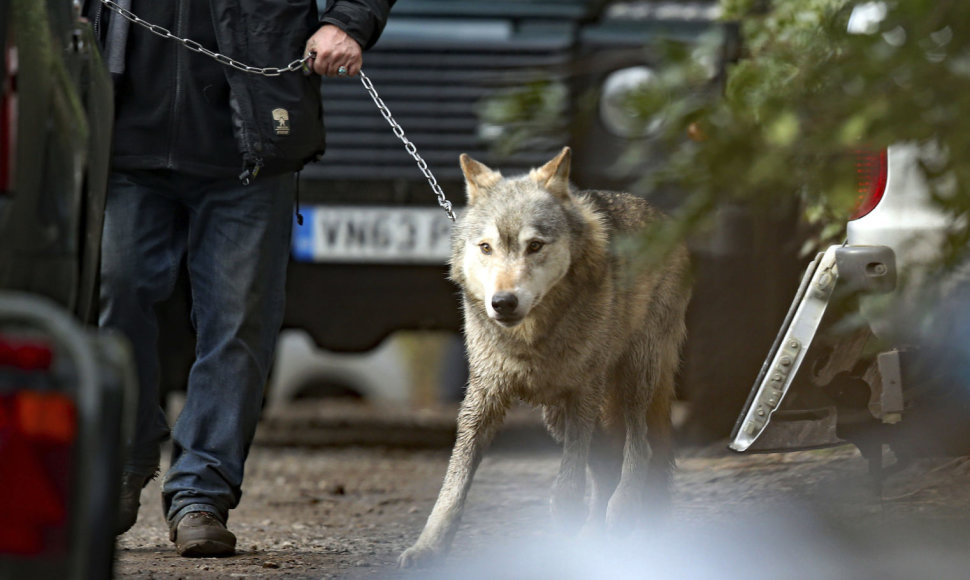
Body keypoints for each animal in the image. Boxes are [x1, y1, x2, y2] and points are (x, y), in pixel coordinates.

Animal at [396, 146, 688, 568]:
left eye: (534, 246)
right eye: (486, 247)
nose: (502, 302)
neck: (531, 341)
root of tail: (666, 219)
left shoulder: (583, 392)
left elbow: (569, 482)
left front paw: (567, 521)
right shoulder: (482, 398)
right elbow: (452, 484)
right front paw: (428, 547)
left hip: (633, 378)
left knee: (641, 446)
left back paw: (622, 513)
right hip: (561, 416)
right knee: (607, 466)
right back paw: (600, 540)